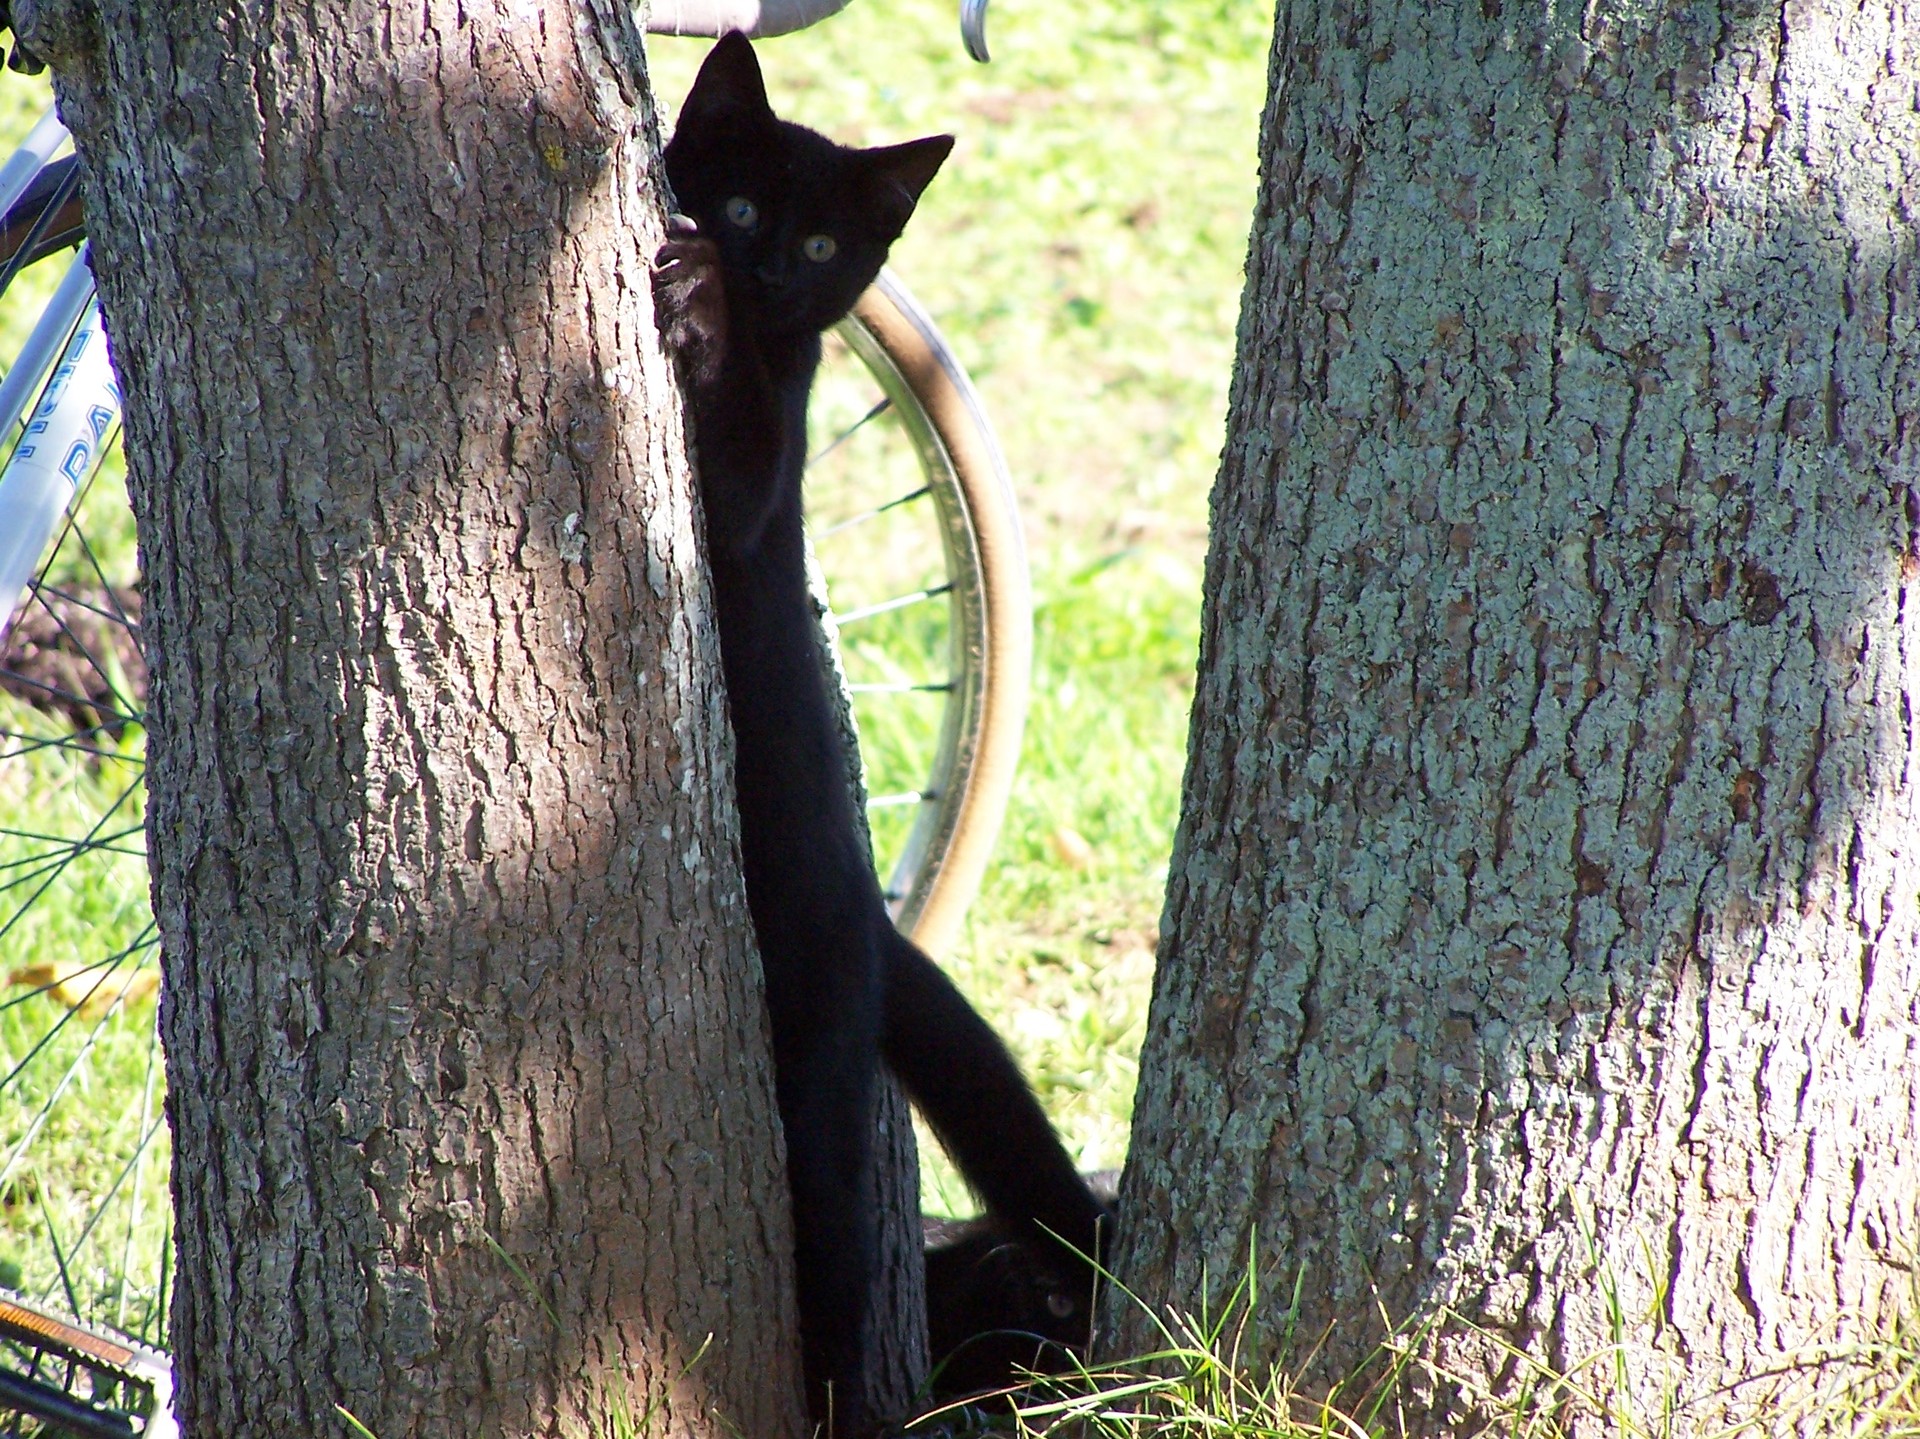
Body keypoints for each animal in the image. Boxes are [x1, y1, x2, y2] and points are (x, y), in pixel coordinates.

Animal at [656, 33, 1113, 1437]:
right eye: (745, 203)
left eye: (819, 245)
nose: (756, 268)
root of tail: (869, 921)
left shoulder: (755, 492)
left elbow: (742, 450)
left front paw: (704, 311)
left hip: (812, 1062)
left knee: (842, 1266)